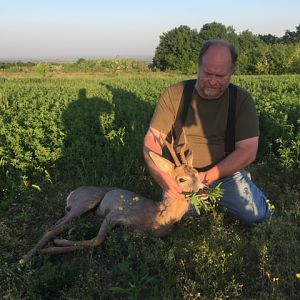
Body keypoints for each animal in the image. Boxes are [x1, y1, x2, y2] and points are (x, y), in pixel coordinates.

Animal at [21, 135, 207, 264]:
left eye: (197, 173)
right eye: (181, 179)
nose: (205, 189)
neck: (159, 215)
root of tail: (72, 193)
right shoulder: (116, 213)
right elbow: (97, 240)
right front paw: (54, 246)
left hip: (85, 212)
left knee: (60, 223)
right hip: (86, 200)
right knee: (52, 228)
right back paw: (26, 258)